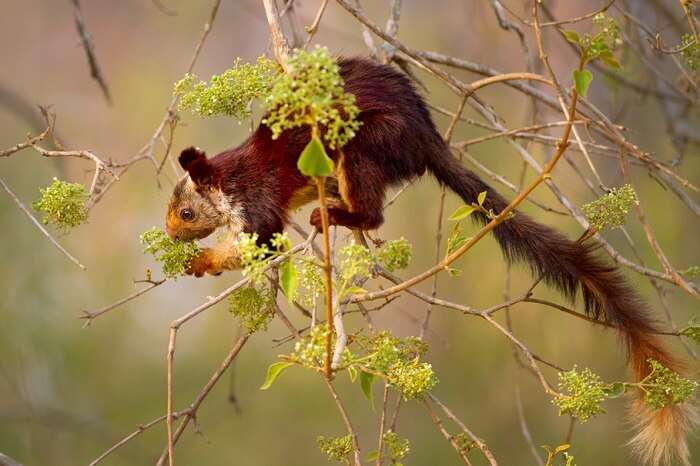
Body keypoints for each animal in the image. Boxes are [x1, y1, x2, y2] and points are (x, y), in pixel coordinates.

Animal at [164, 54, 696, 462]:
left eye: (186, 212)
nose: (169, 232)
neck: (232, 178)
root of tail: (427, 140)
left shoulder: (259, 202)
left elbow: (263, 245)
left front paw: (202, 262)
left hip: (363, 144)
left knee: (373, 212)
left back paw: (334, 214)